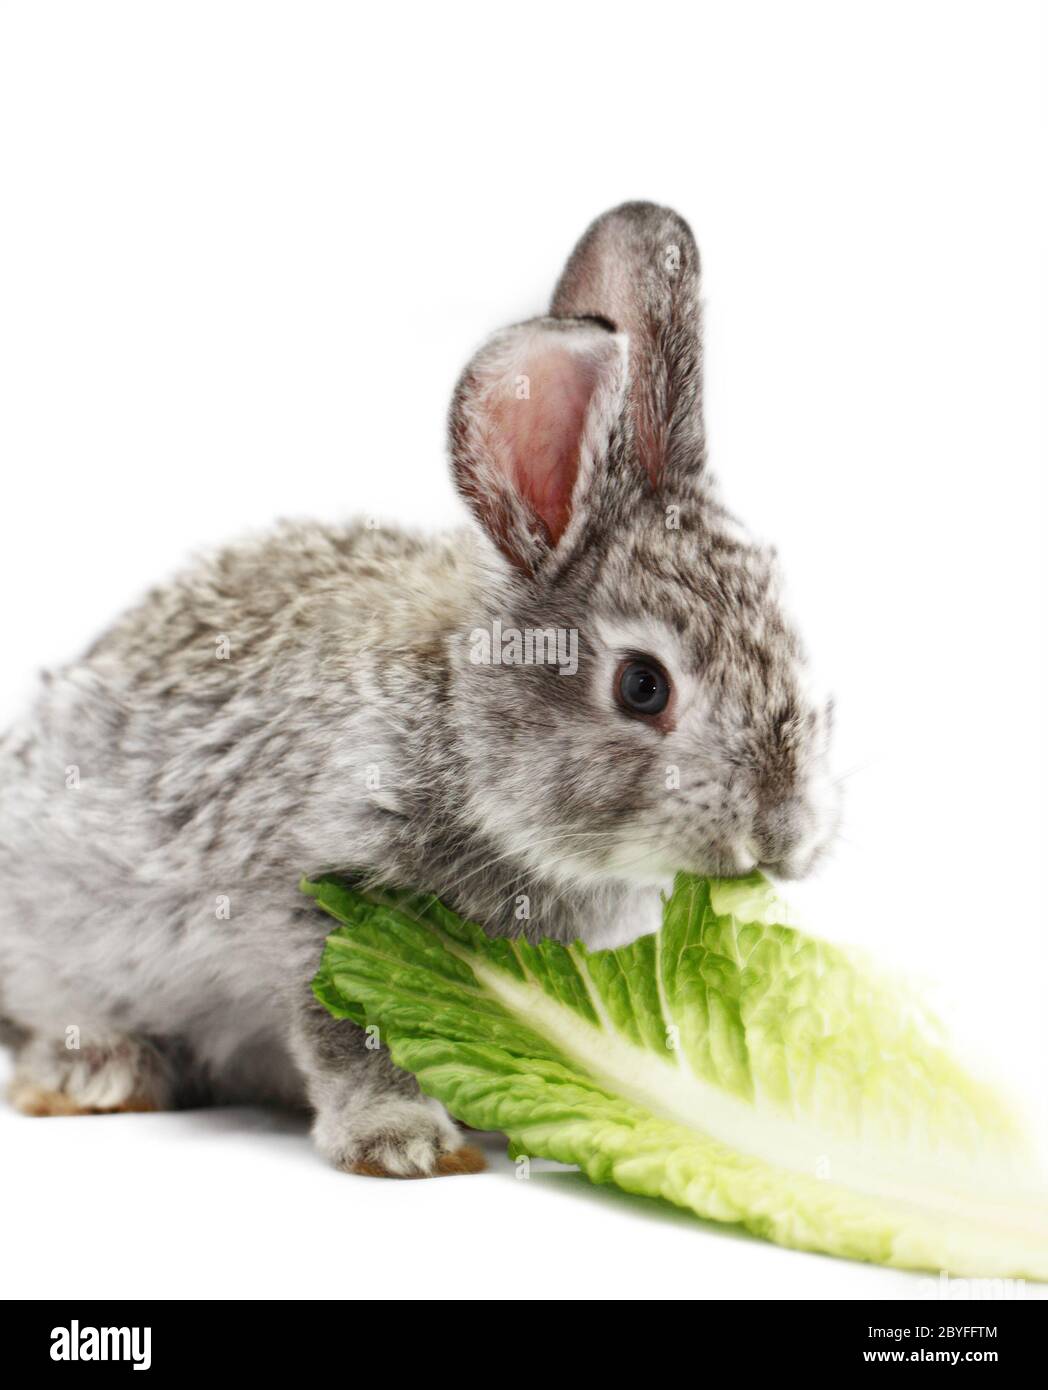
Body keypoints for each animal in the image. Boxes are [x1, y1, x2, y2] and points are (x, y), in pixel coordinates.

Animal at [0, 202, 838, 1176]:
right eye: (642, 686)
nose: (781, 838)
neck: (460, 729)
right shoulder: (324, 902)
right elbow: (349, 1030)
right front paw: (401, 1142)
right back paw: (100, 1072)